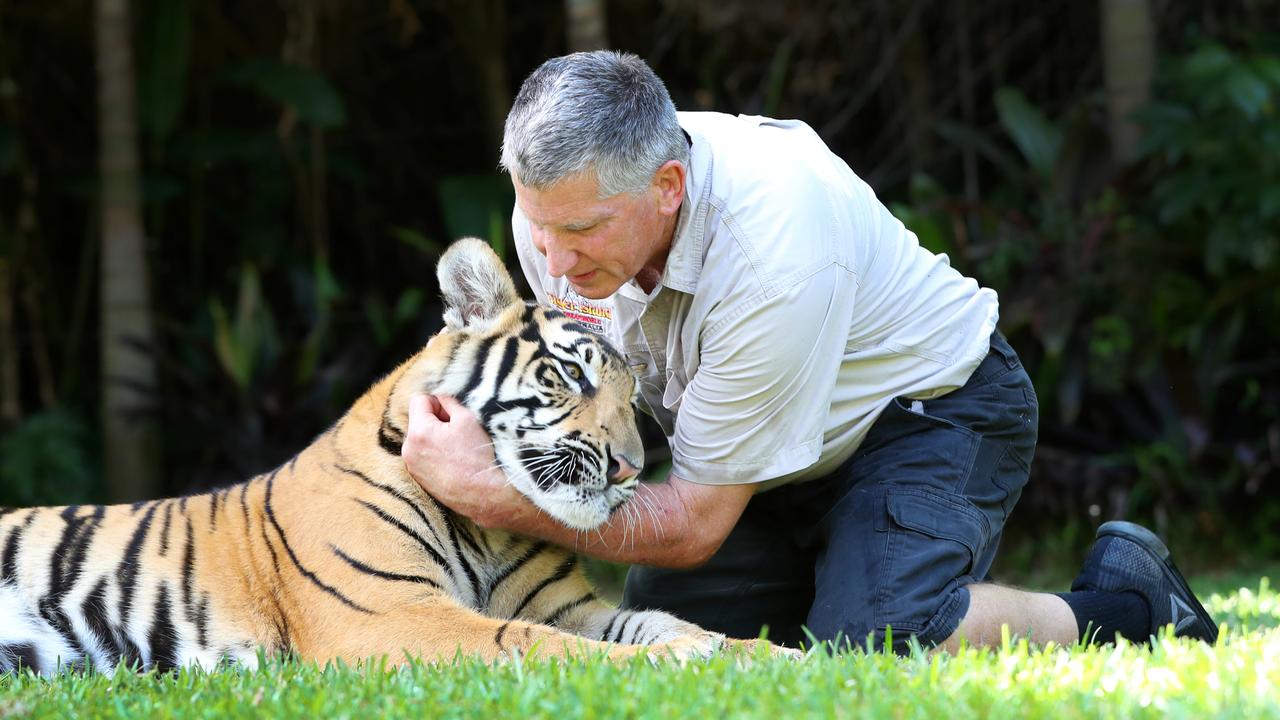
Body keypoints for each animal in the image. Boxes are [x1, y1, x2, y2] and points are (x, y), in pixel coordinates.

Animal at [0, 237, 788, 671]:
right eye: (572, 376)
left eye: (634, 398)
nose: (629, 467)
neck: (491, 528)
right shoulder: (389, 613)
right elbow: (535, 643)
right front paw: (679, 659)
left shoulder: (569, 606)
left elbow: (668, 623)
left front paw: (775, 657)